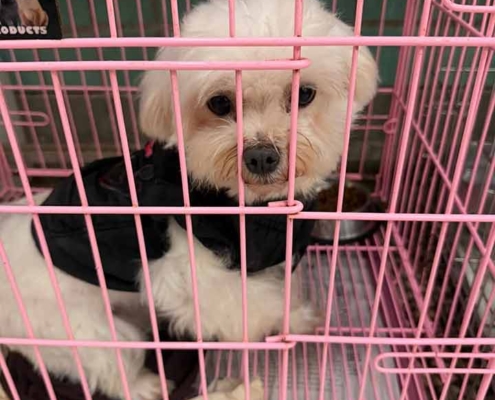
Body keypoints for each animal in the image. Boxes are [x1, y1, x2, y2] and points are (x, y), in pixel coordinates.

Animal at [0, 0, 378, 399]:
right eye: (219, 103)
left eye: (304, 94)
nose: (261, 156)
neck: (251, 208)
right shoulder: (189, 274)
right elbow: (253, 303)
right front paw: (292, 321)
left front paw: (299, 315)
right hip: (78, 328)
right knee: (110, 363)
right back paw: (147, 386)